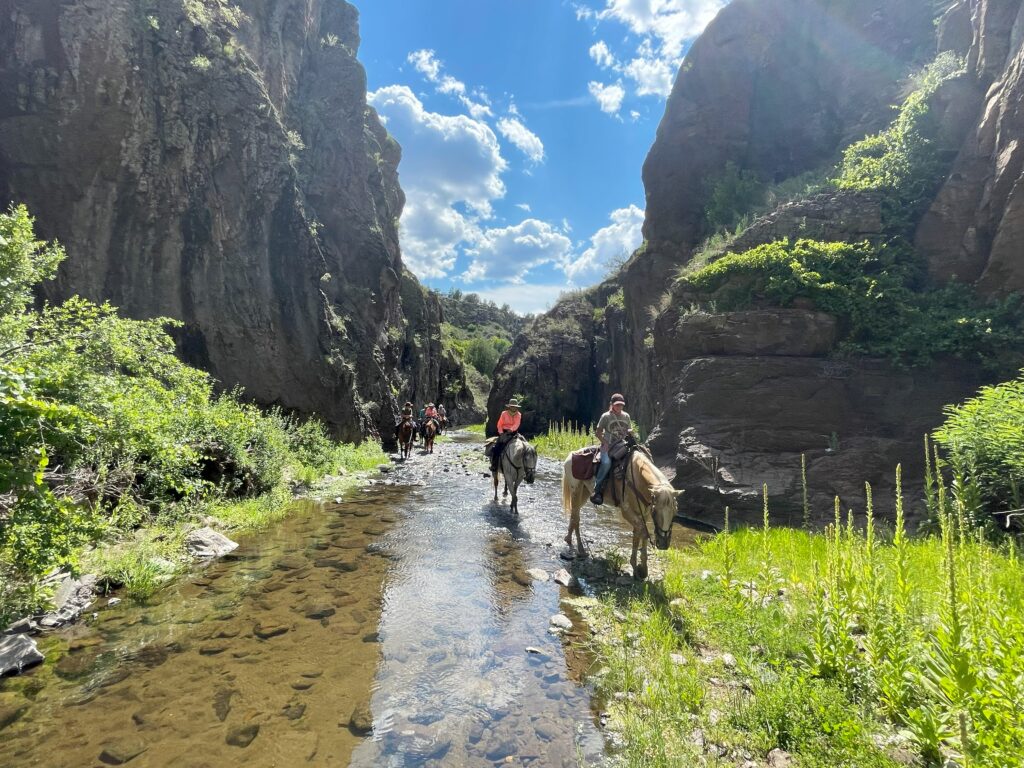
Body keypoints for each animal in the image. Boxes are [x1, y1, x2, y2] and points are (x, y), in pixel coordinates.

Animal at [561, 448, 679, 581]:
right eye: (655, 511)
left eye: (675, 513)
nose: (663, 544)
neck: (637, 478)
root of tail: (571, 455)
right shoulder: (627, 512)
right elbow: (642, 532)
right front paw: (637, 568)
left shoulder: (644, 513)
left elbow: (640, 534)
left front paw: (642, 569)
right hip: (576, 490)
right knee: (576, 517)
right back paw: (581, 549)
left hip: (585, 493)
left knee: (573, 514)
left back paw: (568, 538)